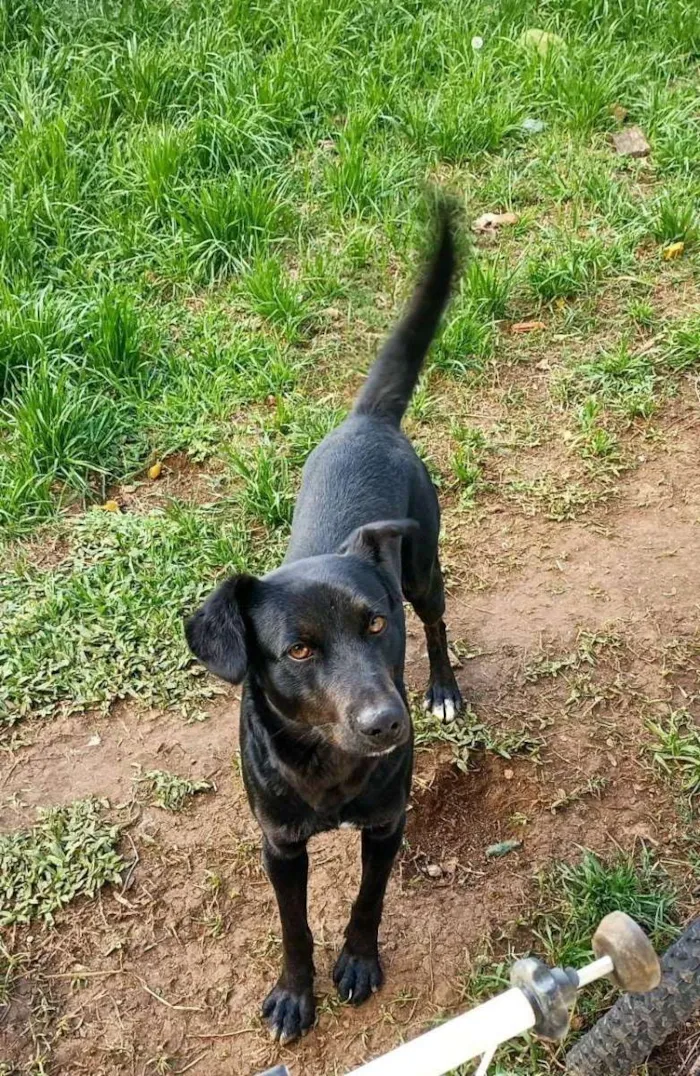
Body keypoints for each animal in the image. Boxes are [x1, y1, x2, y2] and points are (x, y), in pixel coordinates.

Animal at [183, 209, 462, 1041]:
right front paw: (294, 994)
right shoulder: (278, 845)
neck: (330, 764)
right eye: (299, 650)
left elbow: (367, 902)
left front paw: (360, 964)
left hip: (423, 569)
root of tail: (365, 421)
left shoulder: (388, 823)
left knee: (440, 622)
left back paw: (444, 688)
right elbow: (294, 926)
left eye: (375, 626)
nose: (386, 724)